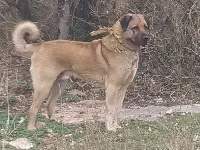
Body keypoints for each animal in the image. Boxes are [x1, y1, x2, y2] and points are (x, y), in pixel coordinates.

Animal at [12, 13, 149, 131]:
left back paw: (55, 123)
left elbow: (117, 110)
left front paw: (116, 126)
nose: (147, 37)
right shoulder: (112, 88)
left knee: (49, 105)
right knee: (32, 109)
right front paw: (110, 128)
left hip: (59, 85)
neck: (122, 44)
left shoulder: (122, 89)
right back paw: (31, 129)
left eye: (145, 26)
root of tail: (39, 45)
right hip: (44, 86)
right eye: (135, 27)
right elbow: (110, 110)